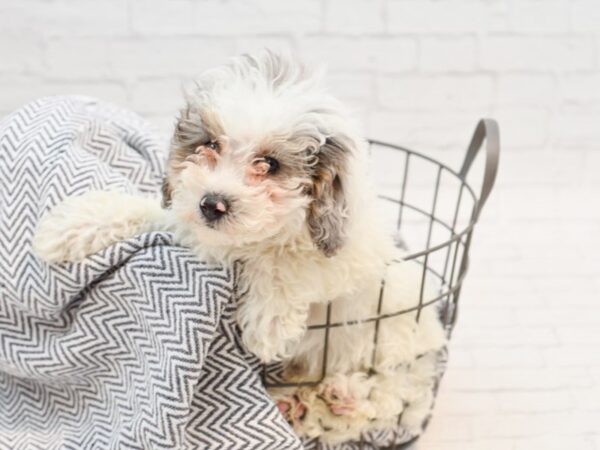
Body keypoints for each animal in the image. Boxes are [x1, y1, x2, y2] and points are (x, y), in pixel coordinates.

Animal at [32, 51, 446, 442]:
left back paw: (342, 397)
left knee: (393, 394)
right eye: (210, 145)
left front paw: (268, 324)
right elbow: (152, 211)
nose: (212, 204)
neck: (251, 242)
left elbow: (289, 260)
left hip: (392, 341)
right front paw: (74, 224)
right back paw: (300, 405)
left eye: (270, 164)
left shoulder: (349, 254)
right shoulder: (191, 223)